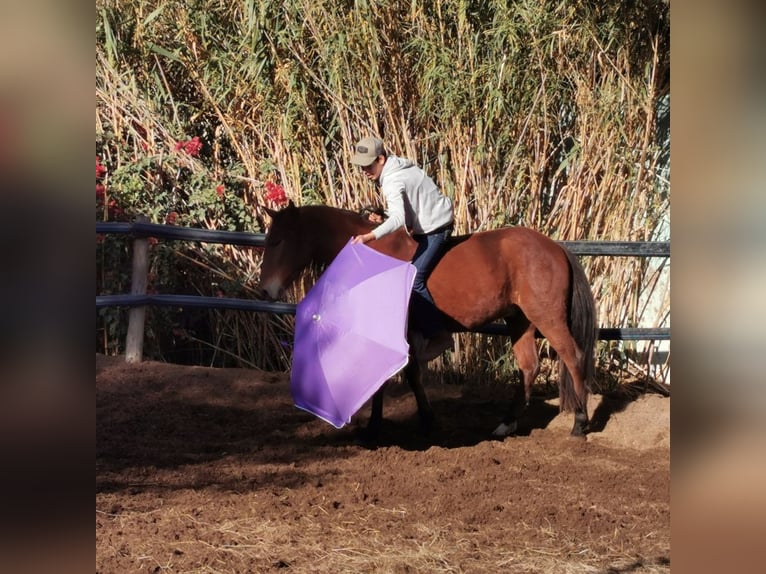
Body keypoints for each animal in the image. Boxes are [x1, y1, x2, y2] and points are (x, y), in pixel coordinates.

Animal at [260, 200, 600, 444]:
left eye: (278, 241)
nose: (266, 290)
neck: (372, 258)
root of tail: (555, 247)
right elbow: (398, 375)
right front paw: (388, 423)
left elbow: (404, 375)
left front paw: (412, 422)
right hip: (519, 320)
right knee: (529, 366)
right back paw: (506, 424)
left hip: (547, 317)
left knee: (573, 357)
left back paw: (579, 423)